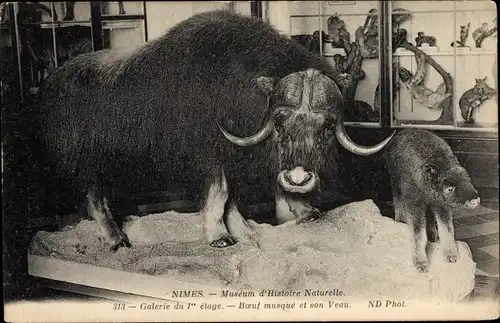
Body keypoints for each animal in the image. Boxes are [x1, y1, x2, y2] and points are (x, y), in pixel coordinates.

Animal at [34, 9, 394, 251]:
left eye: (326, 127)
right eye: (279, 122)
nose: (299, 178)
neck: (240, 91)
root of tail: (49, 87)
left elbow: (239, 196)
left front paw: (279, 222)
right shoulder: (211, 156)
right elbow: (220, 195)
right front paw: (220, 238)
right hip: (88, 163)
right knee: (94, 198)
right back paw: (117, 240)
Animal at [384, 129, 478, 274]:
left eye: (468, 179)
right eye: (450, 189)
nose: (475, 200)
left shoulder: (441, 205)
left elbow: (447, 228)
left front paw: (451, 255)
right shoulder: (414, 205)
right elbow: (418, 233)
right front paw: (421, 263)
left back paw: (433, 235)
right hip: (396, 185)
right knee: (398, 204)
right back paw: (399, 221)